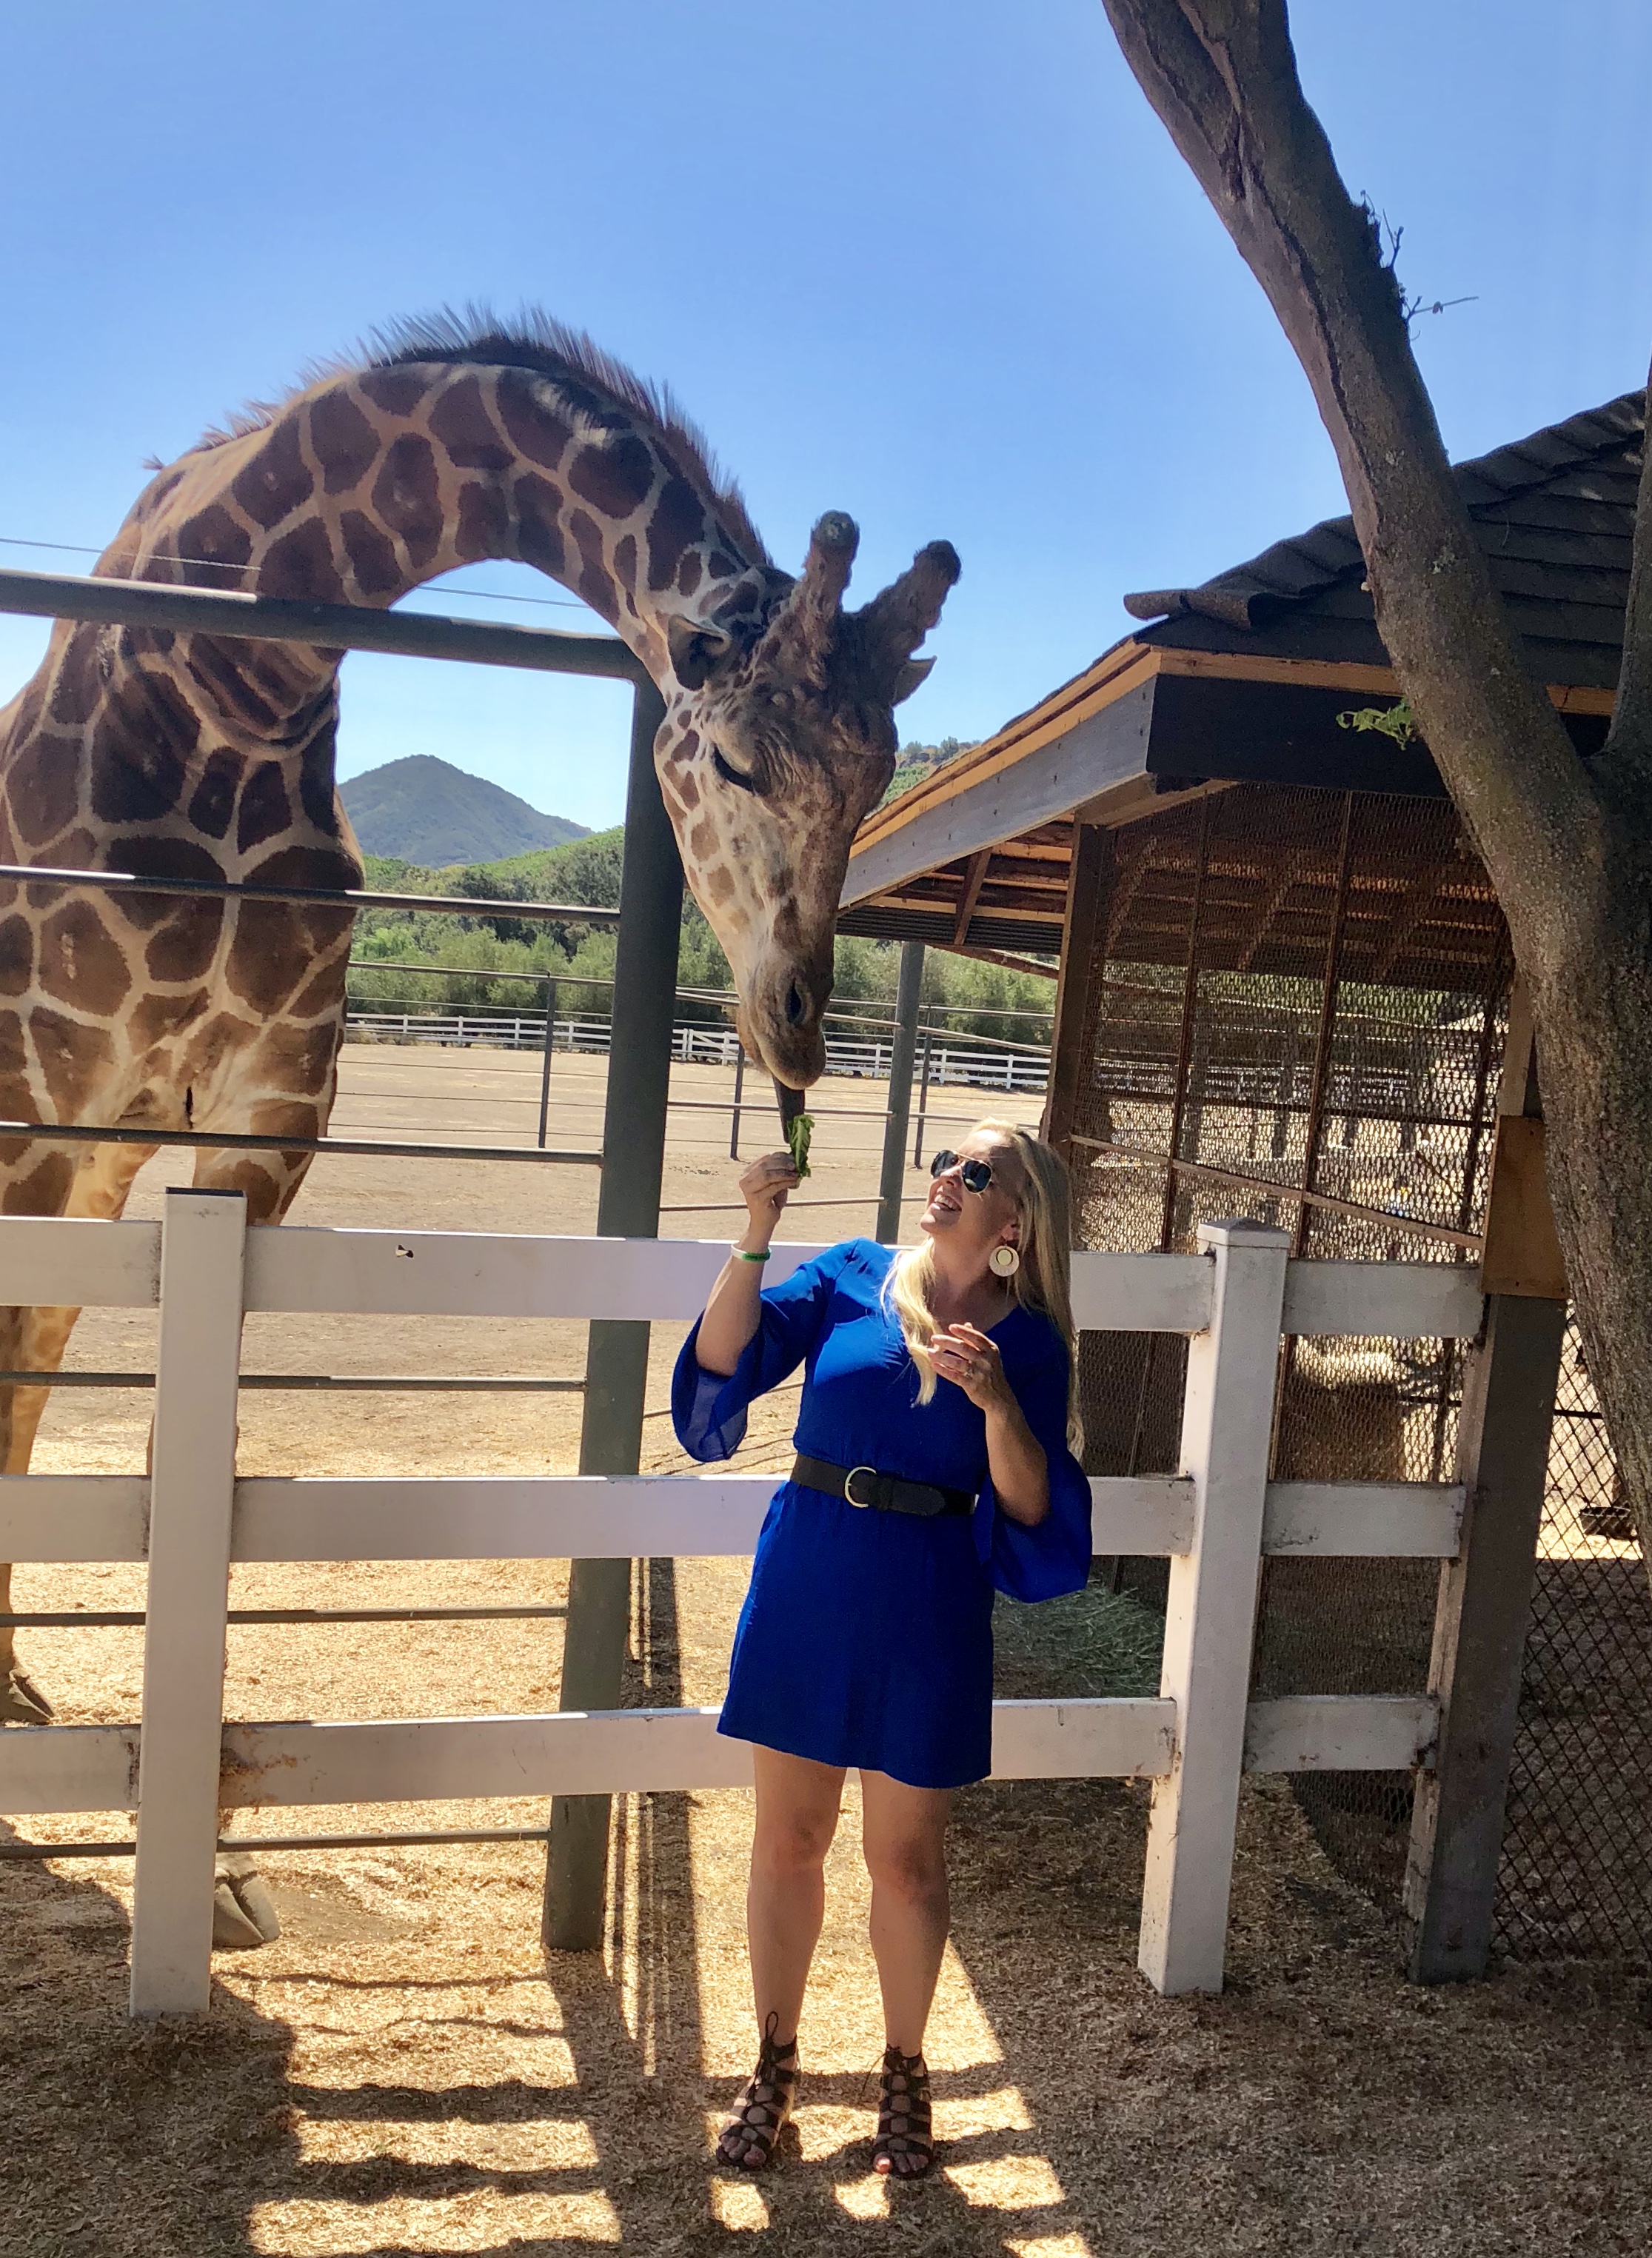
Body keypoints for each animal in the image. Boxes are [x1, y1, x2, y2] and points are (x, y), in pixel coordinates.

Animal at [0, 309, 960, 1726]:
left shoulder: (262, 1113)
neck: (229, 685)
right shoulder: (40, 1094)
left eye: (876, 778)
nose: (794, 1030)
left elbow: (187, 1418)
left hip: (109, 1149)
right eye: (734, 761)